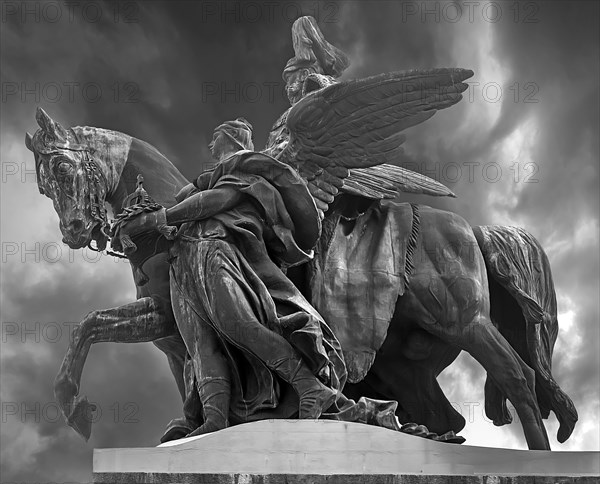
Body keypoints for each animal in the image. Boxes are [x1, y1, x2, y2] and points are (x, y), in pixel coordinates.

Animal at [27, 108, 576, 450]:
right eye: (43, 186)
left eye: (63, 168)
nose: (74, 231)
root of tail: (473, 228)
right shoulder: (169, 331)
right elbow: (112, 336)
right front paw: (187, 426)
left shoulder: (166, 313)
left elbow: (95, 326)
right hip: (408, 361)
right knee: (448, 415)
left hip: (464, 321)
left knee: (518, 376)